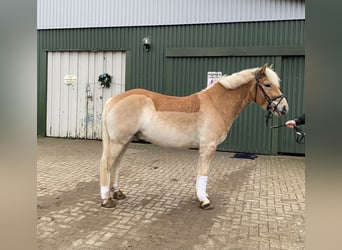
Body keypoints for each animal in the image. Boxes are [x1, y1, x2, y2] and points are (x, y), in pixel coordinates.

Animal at [99, 64, 288, 209]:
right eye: (267, 84)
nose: (284, 108)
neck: (217, 104)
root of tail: (113, 100)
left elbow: (200, 173)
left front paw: (200, 196)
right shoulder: (208, 146)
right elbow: (203, 173)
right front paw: (204, 201)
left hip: (125, 141)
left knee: (116, 164)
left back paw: (117, 193)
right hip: (118, 142)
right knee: (106, 164)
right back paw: (106, 199)